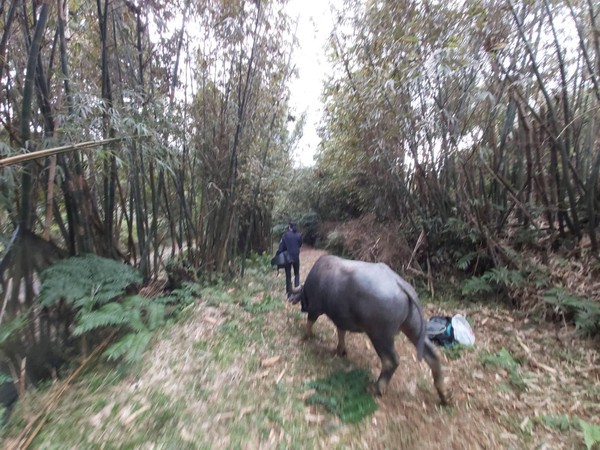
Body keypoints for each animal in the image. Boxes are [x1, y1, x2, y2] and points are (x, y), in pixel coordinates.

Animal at [290, 255, 450, 406]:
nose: (301, 307)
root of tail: (400, 284)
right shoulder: (341, 319)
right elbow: (341, 332)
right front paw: (340, 350)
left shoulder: (315, 308)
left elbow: (310, 322)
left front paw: (305, 336)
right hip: (413, 326)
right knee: (432, 354)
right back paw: (443, 394)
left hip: (380, 335)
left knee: (391, 360)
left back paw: (376, 388)